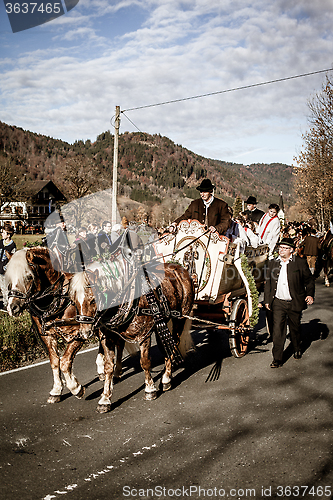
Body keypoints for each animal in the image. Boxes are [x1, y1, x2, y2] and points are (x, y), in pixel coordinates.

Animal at [5, 248, 123, 404]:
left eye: (28, 277)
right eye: (9, 279)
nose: (12, 307)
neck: (57, 298)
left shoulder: (78, 333)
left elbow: (65, 361)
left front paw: (76, 388)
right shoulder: (46, 336)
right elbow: (55, 361)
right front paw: (56, 390)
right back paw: (101, 369)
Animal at [76, 256, 193, 412]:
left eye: (93, 300)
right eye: (74, 301)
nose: (85, 332)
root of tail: (179, 268)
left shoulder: (145, 333)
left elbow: (145, 362)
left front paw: (150, 390)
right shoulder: (108, 337)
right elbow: (108, 367)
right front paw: (105, 399)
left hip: (180, 317)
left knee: (174, 343)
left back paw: (166, 378)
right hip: (162, 321)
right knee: (165, 345)